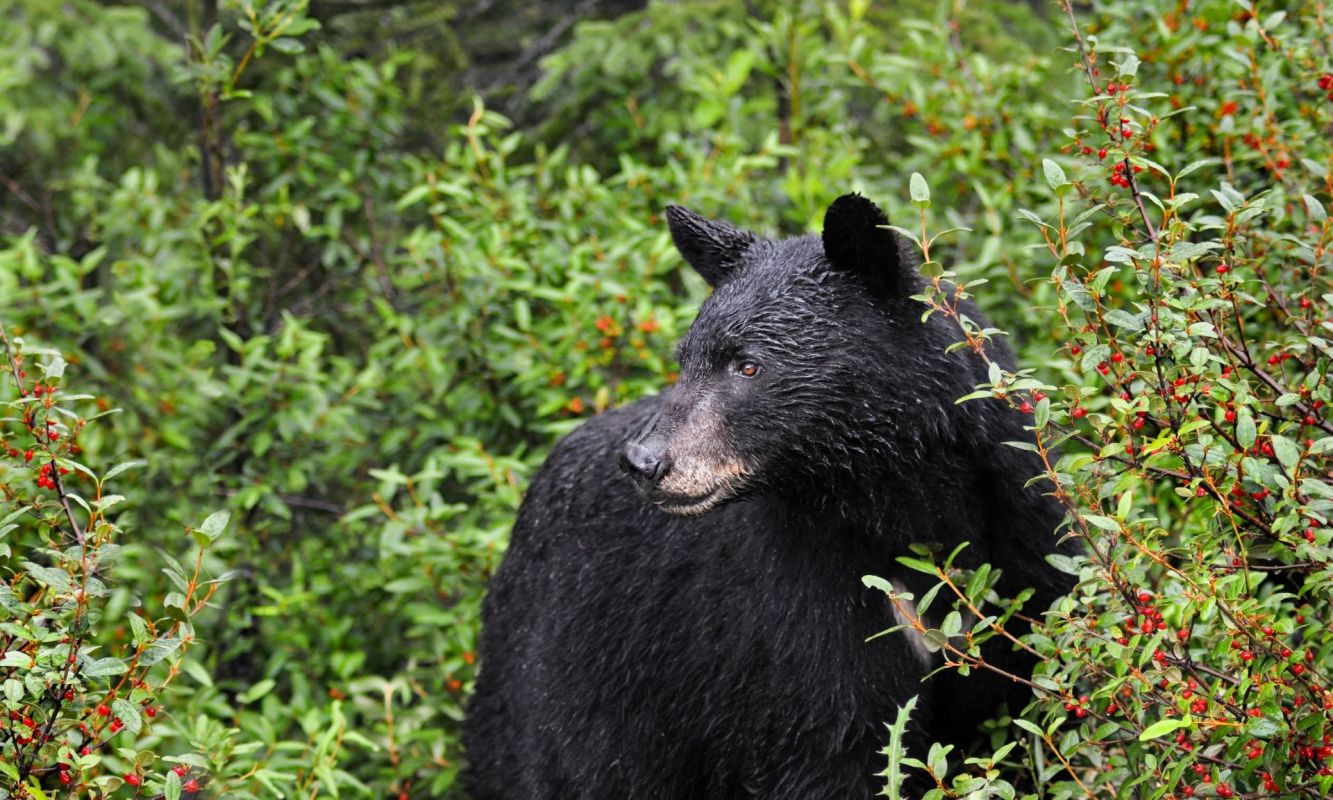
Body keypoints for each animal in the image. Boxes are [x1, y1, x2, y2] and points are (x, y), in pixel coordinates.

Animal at [463, 193, 1073, 799]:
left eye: (748, 364)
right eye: (686, 358)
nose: (643, 462)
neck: (907, 504)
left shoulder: (1027, 537)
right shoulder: (789, 606)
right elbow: (826, 742)